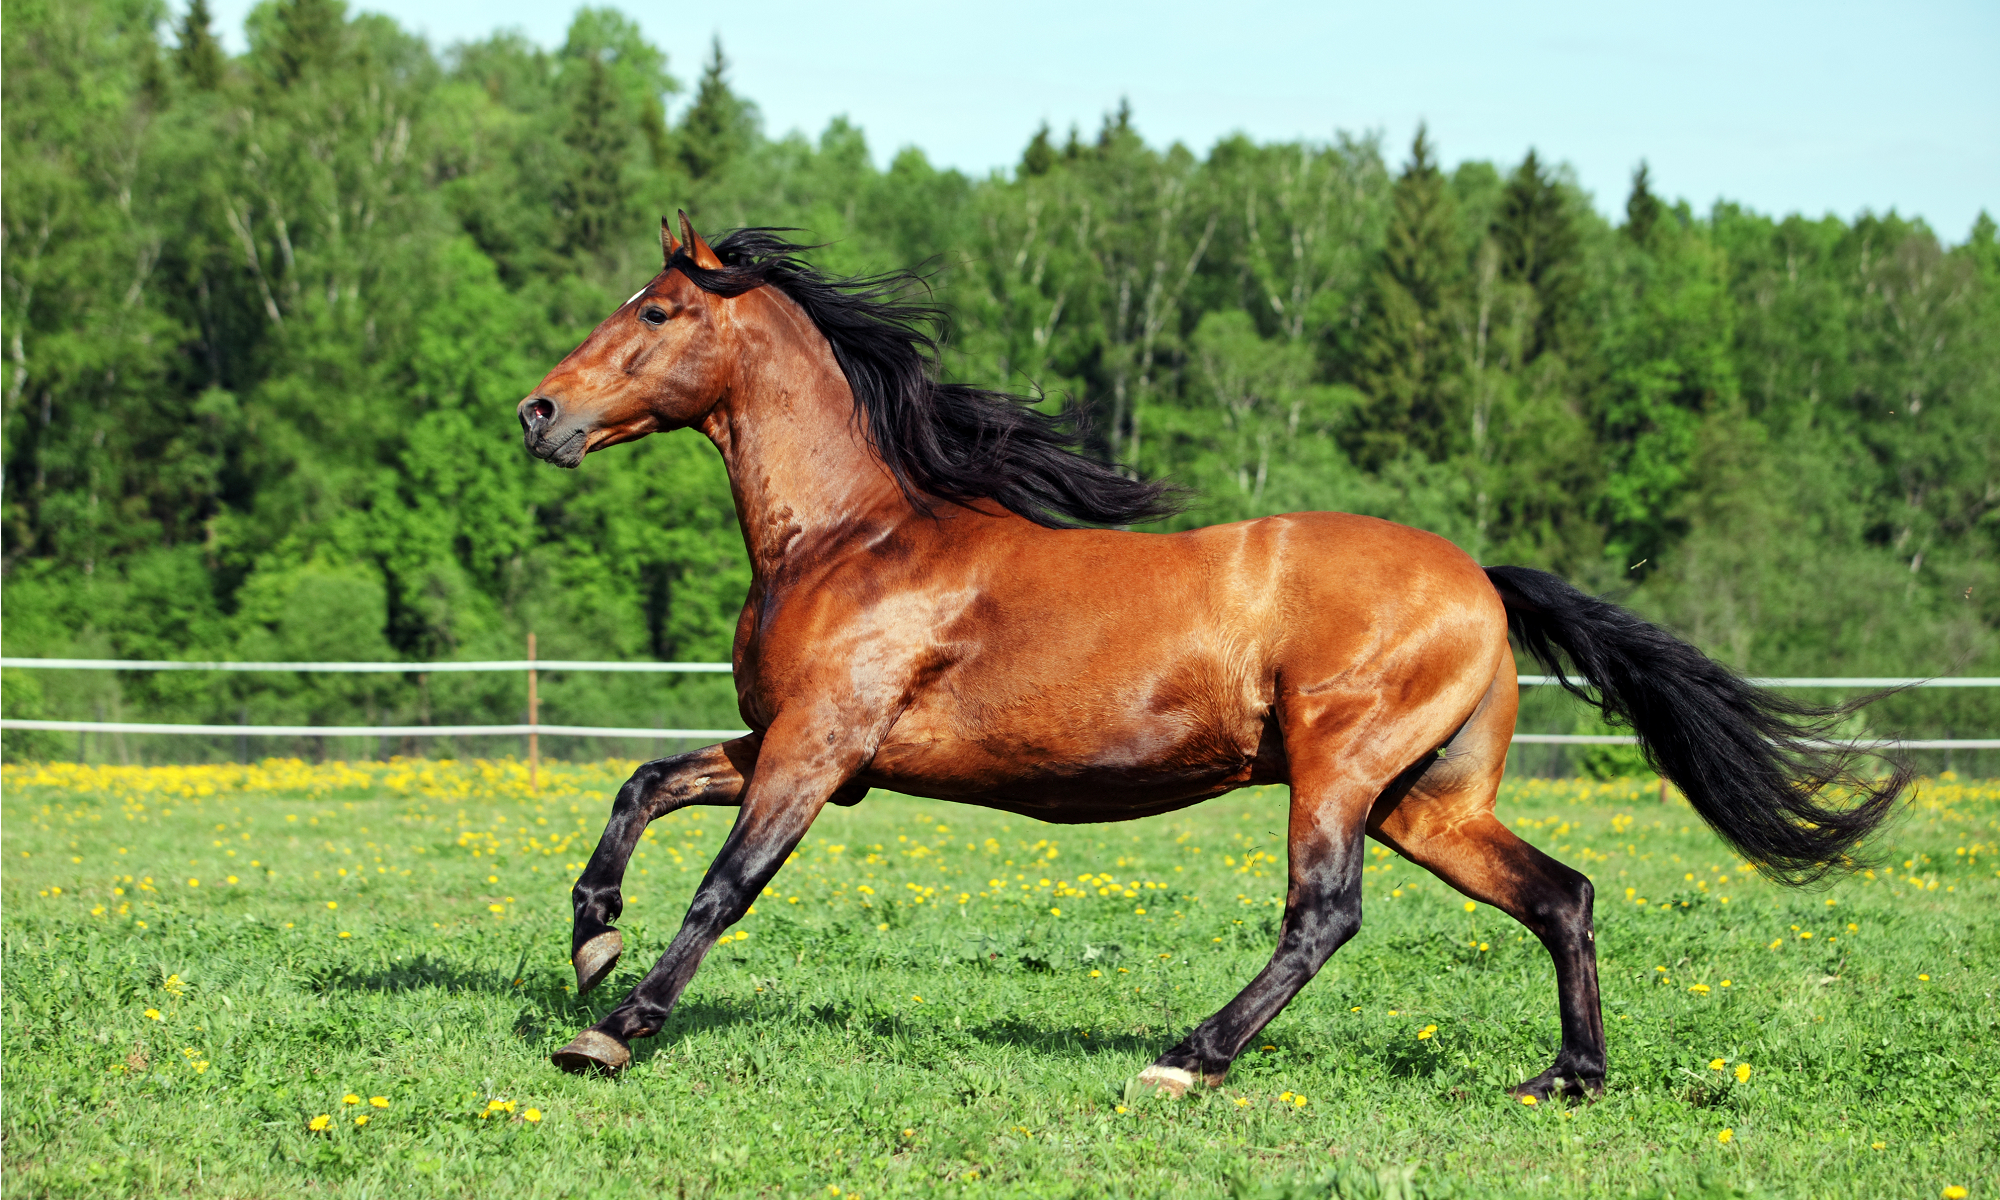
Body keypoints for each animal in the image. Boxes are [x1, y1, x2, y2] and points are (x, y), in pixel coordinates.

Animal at [518, 213, 1907, 1098]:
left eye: (655, 310)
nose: (538, 412)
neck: (855, 539)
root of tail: (1476, 580)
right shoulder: (798, 746)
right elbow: (641, 786)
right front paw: (590, 942)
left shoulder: (816, 750)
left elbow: (726, 884)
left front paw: (614, 1031)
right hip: (1428, 802)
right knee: (1559, 894)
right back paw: (1564, 1079)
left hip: (1339, 771)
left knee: (1323, 915)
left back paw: (1184, 1060)